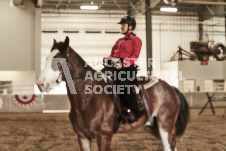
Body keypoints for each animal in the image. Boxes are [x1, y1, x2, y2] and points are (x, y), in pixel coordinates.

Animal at [36, 36, 190, 151]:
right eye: (46, 59)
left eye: (58, 61)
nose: (40, 84)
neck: (89, 97)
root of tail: (171, 88)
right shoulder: (83, 137)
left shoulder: (104, 136)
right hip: (153, 126)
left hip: (165, 124)